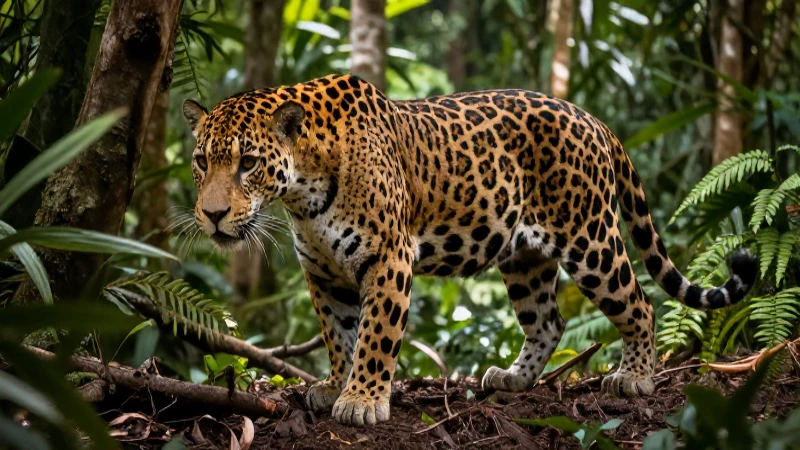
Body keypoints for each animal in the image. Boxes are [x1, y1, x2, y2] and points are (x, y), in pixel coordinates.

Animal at [182, 73, 758, 426]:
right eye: (201, 161)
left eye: (248, 163)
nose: (211, 214)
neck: (302, 190)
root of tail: (593, 119)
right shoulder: (324, 272)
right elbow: (338, 336)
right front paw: (333, 386)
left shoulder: (388, 258)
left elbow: (374, 338)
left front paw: (362, 401)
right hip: (525, 257)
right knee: (548, 321)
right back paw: (512, 379)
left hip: (590, 237)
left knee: (638, 304)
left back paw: (635, 377)